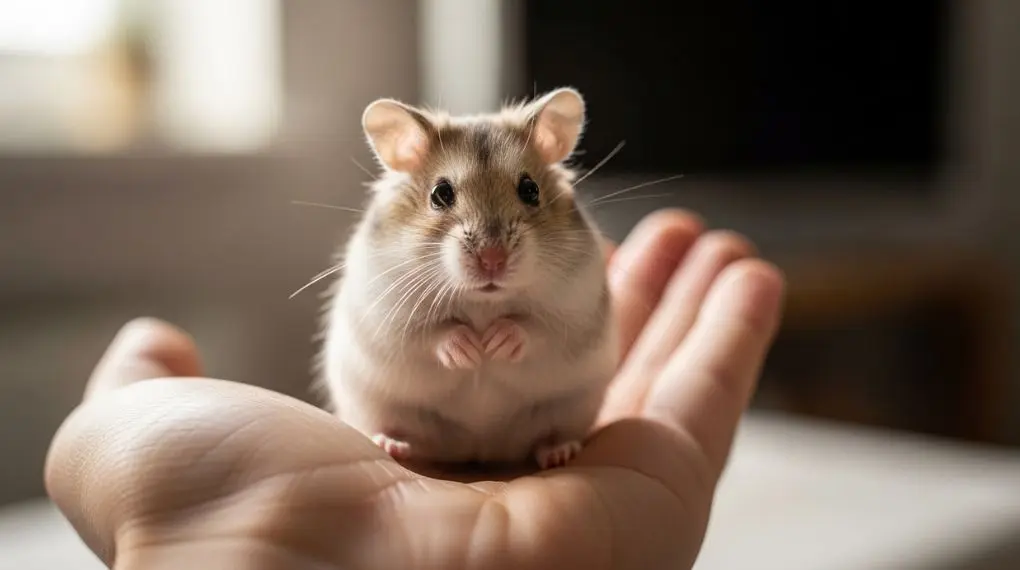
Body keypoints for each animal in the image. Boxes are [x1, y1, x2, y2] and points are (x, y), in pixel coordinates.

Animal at [318, 87, 618, 469]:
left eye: (530, 190)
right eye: (440, 194)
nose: (493, 260)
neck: (483, 299)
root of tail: (481, 449)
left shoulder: (573, 311)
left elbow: (534, 328)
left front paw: (495, 343)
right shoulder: (390, 315)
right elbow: (432, 333)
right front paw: (471, 350)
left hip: (569, 407)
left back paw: (558, 452)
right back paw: (391, 444)